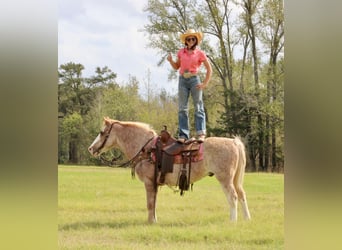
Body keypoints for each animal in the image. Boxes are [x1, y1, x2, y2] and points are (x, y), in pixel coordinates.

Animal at [87, 116, 250, 223]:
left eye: (101, 132)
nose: (91, 149)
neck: (146, 148)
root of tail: (234, 142)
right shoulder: (155, 183)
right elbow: (154, 203)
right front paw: (154, 220)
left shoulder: (148, 182)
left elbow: (150, 203)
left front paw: (150, 222)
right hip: (235, 179)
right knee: (242, 195)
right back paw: (246, 219)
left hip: (225, 179)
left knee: (233, 197)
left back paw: (233, 221)